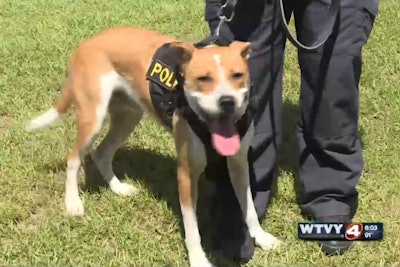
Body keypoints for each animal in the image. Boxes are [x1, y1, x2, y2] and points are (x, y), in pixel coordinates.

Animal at [27, 27, 282, 267]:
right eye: (203, 79)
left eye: (238, 75)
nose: (227, 101)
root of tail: (87, 43)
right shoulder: (186, 174)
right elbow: (192, 227)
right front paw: (198, 259)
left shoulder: (239, 164)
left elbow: (249, 207)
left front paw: (260, 236)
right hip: (93, 117)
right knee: (74, 158)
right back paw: (73, 203)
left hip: (128, 116)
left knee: (101, 153)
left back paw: (118, 188)